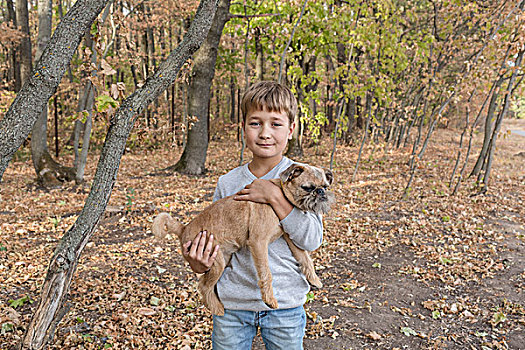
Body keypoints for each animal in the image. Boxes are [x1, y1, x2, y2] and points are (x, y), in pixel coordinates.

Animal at [151, 163, 334, 314]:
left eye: (325, 186)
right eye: (308, 188)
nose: (321, 192)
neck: (281, 196)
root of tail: (184, 229)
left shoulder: (290, 238)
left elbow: (305, 258)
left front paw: (314, 279)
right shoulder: (258, 243)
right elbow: (266, 273)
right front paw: (269, 300)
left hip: (221, 260)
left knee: (204, 282)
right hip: (217, 261)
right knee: (203, 285)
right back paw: (217, 308)